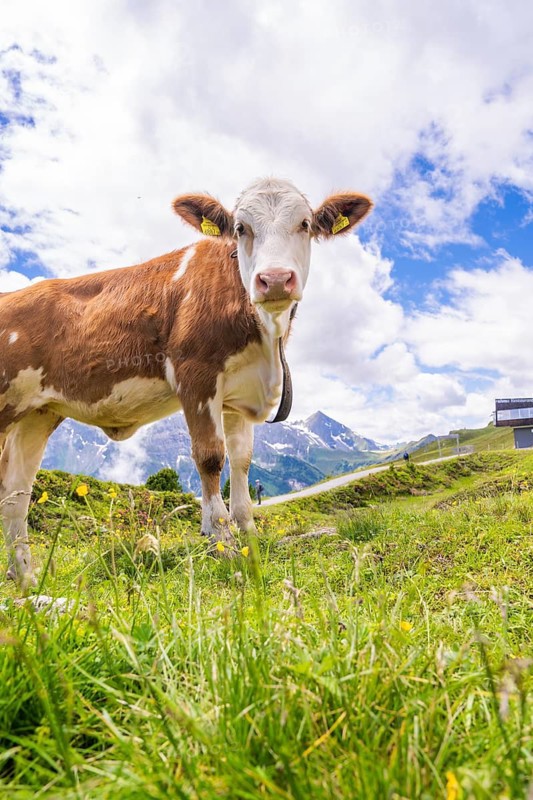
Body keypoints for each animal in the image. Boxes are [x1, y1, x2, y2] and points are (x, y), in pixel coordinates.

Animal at [0, 177, 372, 587]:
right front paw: (222, 545)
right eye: (240, 228)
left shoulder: (237, 395)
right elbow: (210, 457)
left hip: (36, 414)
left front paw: (250, 543)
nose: (274, 279)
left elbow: (241, 462)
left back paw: (26, 581)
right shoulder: (196, 377)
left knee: (15, 494)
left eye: (304, 224)